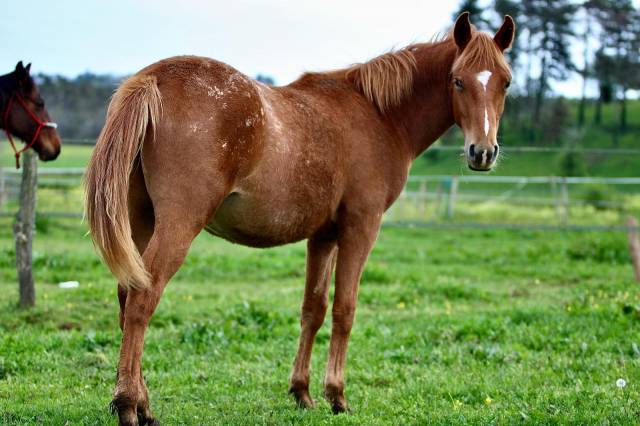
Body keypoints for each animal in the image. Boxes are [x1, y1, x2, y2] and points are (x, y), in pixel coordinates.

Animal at [85, 12, 514, 425]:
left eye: (506, 83)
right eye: (458, 81)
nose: (483, 152)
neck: (378, 115)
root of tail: (154, 78)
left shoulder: (322, 236)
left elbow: (314, 308)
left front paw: (302, 392)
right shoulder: (361, 227)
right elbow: (344, 309)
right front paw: (337, 396)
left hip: (142, 221)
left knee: (127, 296)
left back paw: (143, 405)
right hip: (178, 226)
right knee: (143, 298)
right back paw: (128, 405)